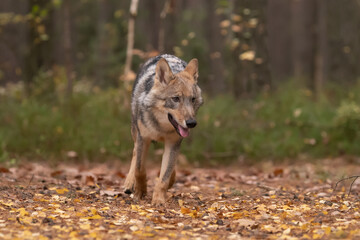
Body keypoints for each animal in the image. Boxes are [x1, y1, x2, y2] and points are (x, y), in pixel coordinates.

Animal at [124, 54, 202, 204]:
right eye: (176, 99)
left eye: (193, 99)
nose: (191, 123)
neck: (161, 128)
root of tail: (165, 55)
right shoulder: (144, 139)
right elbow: (139, 170)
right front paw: (140, 192)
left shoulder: (173, 143)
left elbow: (165, 176)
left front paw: (159, 199)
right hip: (135, 132)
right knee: (135, 153)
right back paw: (129, 183)